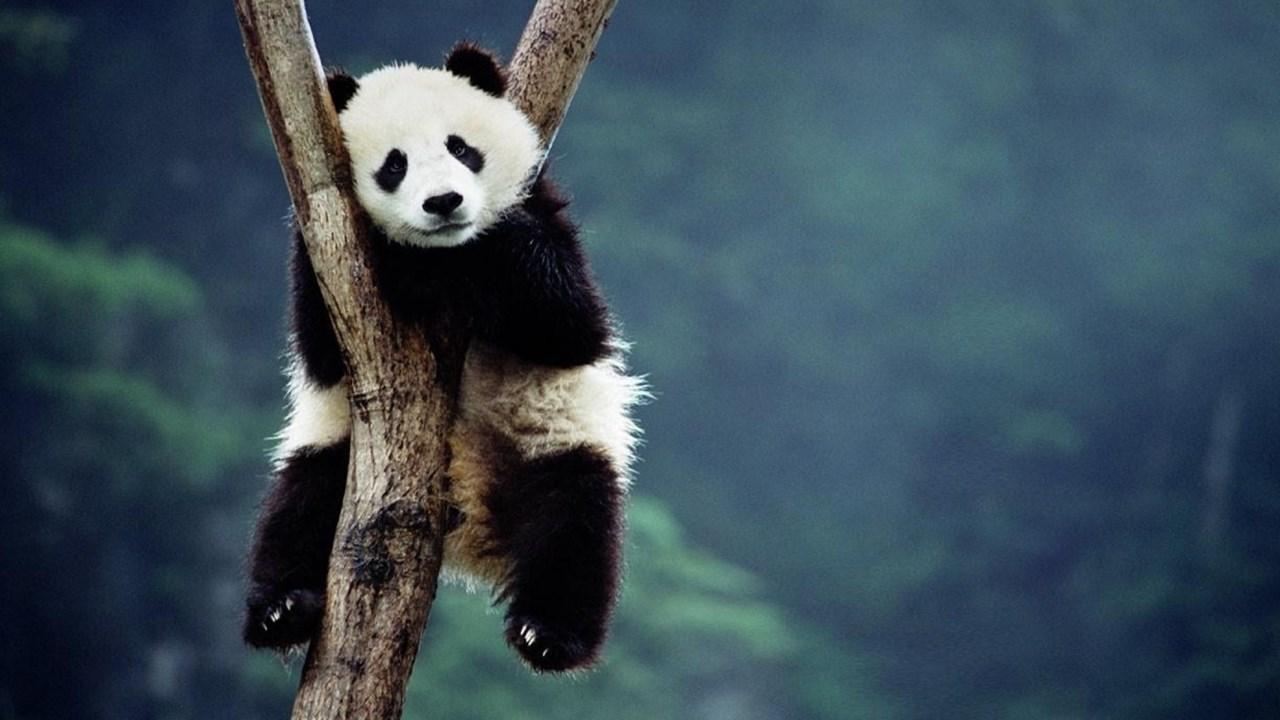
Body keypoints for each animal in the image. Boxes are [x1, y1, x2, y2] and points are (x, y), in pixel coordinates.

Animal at [243, 43, 643, 673]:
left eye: (461, 148)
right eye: (394, 165)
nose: (444, 203)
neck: (447, 256)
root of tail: (472, 526)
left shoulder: (546, 214)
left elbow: (571, 323)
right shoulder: (326, 251)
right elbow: (322, 351)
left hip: (556, 440)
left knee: (576, 528)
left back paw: (548, 634)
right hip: (337, 453)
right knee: (299, 506)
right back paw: (281, 610)